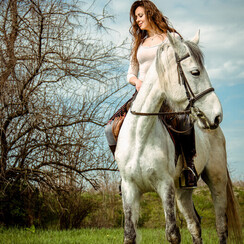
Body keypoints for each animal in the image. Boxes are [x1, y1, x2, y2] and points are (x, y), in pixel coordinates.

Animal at [115, 31, 243, 244]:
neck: (140, 136)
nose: (217, 115)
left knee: (221, 225)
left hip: (216, 180)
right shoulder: (129, 188)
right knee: (194, 225)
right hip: (183, 190)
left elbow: (173, 233)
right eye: (195, 72)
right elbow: (129, 235)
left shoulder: (165, 185)